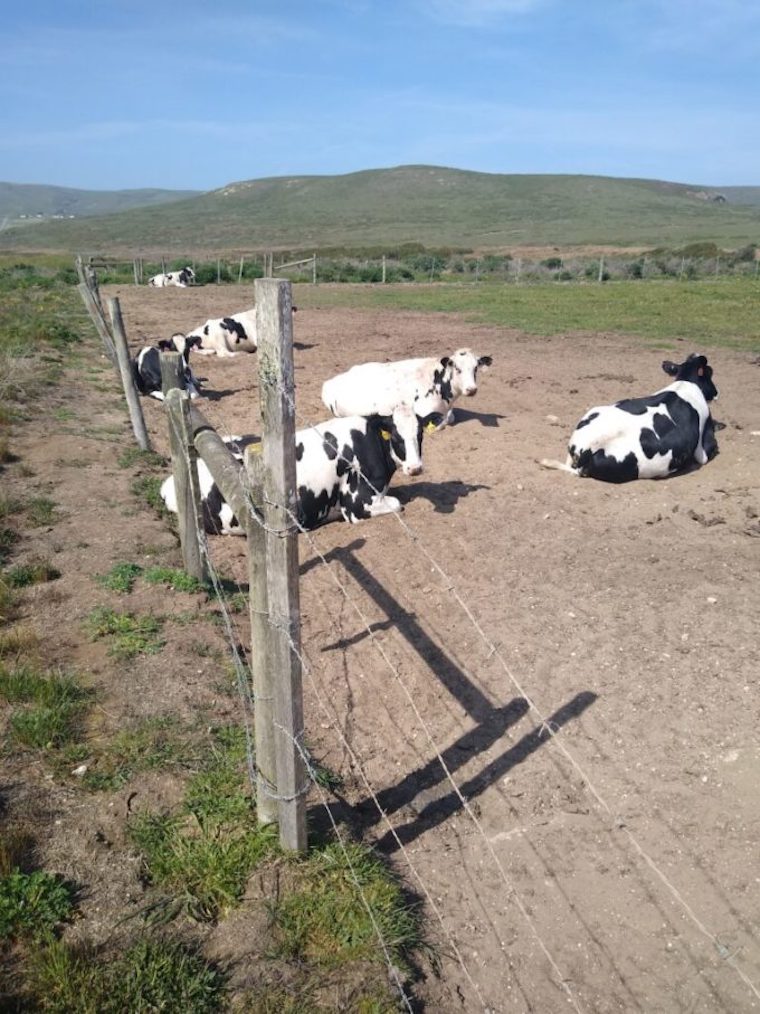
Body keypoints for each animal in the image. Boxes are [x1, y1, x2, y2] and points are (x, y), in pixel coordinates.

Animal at [321, 348, 493, 427]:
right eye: (457, 368)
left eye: (476, 368)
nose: (471, 389)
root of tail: (329, 384)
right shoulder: (424, 411)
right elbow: (442, 421)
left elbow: (450, 417)